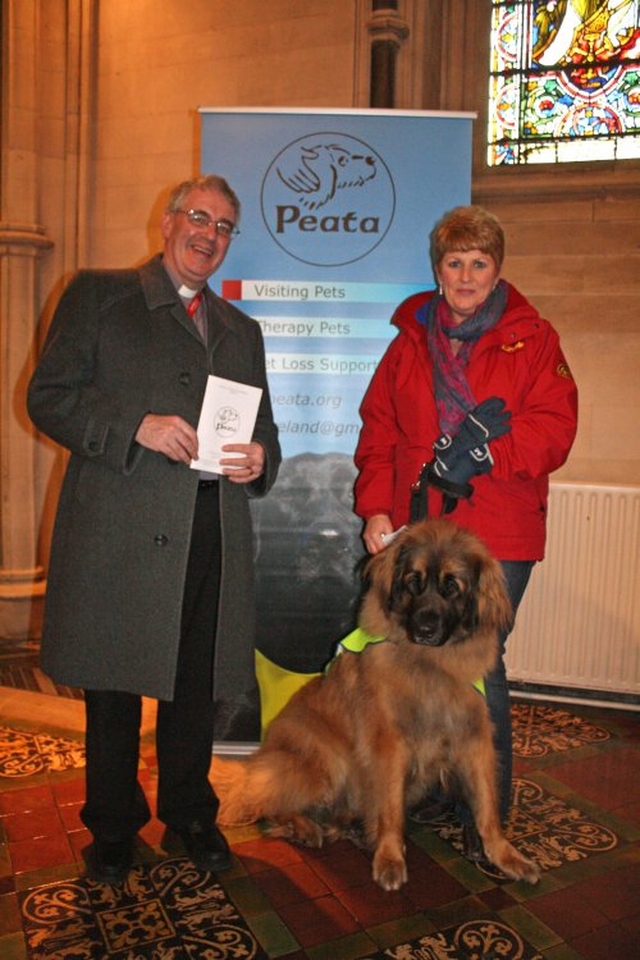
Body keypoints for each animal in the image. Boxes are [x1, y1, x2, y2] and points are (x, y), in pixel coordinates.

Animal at [215, 520, 540, 888]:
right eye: (413, 581)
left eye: (451, 587)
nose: (424, 629)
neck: (429, 664)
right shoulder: (389, 744)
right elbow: (391, 808)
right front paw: (390, 857)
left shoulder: (472, 738)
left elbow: (486, 807)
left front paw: (505, 856)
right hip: (326, 766)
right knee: (265, 801)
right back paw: (305, 827)